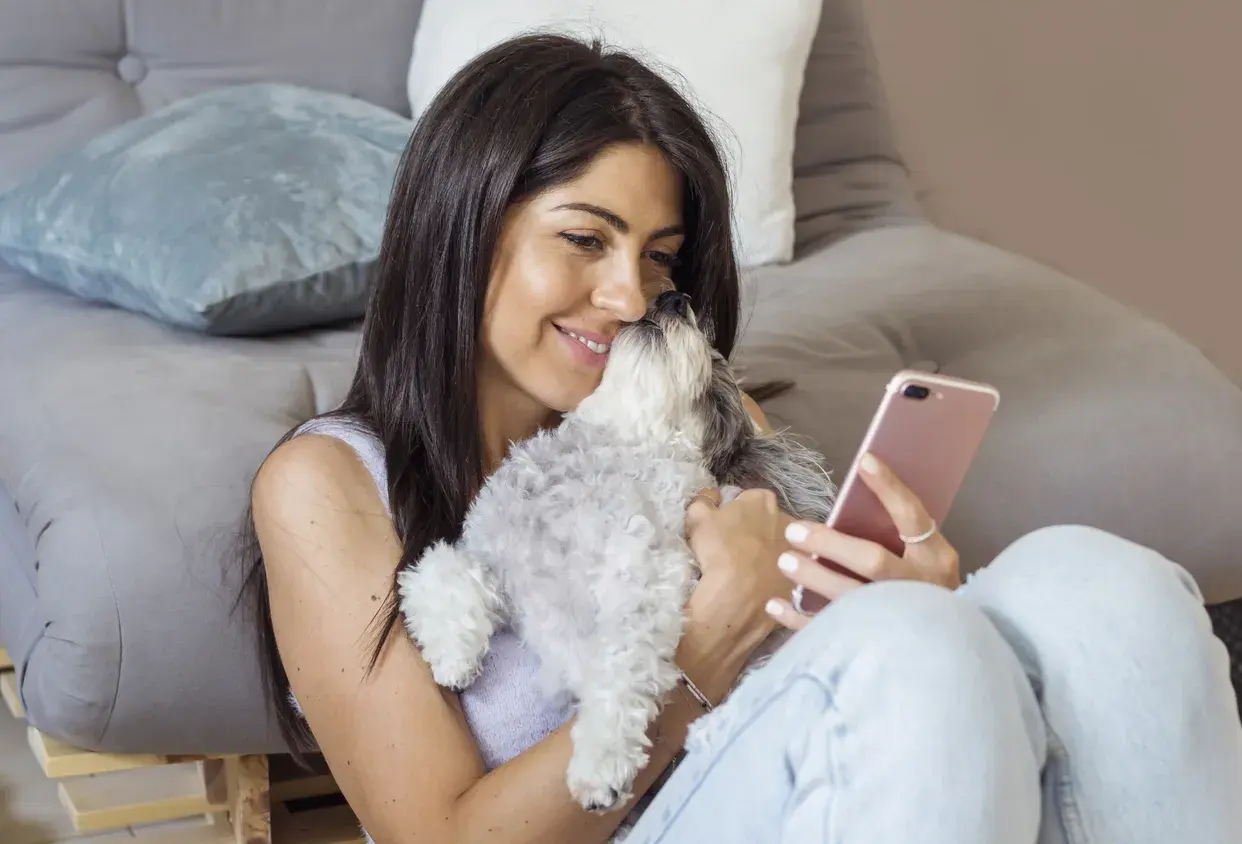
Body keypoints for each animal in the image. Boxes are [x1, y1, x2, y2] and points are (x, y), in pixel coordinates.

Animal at [399, 290, 834, 809]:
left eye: (712, 378)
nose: (675, 296)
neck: (617, 443)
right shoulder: (491, 551)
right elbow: (439, 569)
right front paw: (453, 658)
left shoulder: (644, 578)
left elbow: (621, 667)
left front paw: (601, 763)